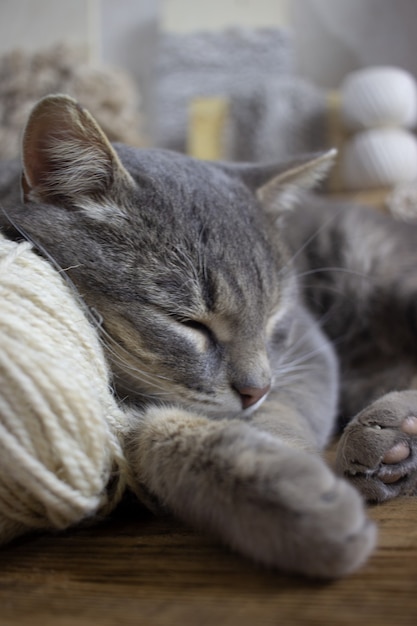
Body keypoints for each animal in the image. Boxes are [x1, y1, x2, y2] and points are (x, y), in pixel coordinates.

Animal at [0, 95, 414, 576]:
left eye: (274, 316)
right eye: (188, 322)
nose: (256, 390)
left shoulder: (308, 351)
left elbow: (279, 414)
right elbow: (161, 437)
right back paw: (394, 442)